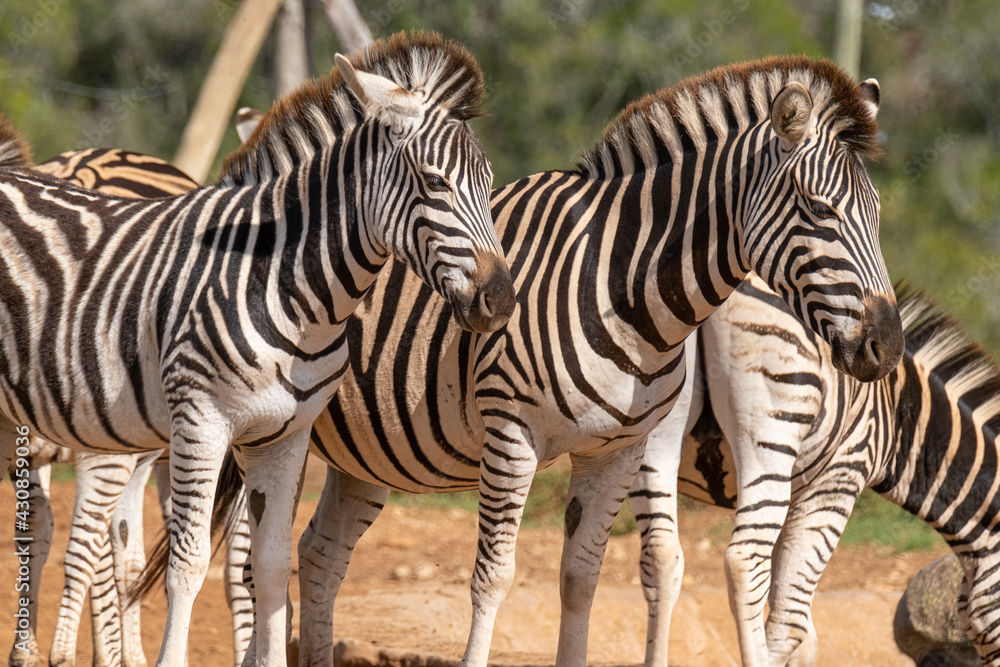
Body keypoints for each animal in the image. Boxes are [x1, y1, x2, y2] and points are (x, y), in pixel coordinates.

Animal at [0, 30, 512, 667]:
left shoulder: (283, 436)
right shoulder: (202, 421)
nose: (501, 300)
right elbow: (188, 564)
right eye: (435, 181)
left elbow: (267, 567)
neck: (291, 288)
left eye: (489, 188)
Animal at [203, 56, 904, 666]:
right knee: (249, 564)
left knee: (320, 554)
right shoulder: (511, 434)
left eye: (877, 212)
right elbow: (493, 577)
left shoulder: (616, 451)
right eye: (820, 210)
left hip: (367, 451)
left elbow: (580, 578)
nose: (889, 347)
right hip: (264, 429)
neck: (623, 289)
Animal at [631, 271, 1000, 667]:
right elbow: (791, 622)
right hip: (769, 430)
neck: (898, 413)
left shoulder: (794, 493)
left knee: (662, 557)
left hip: (653, 430)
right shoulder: (839, 474)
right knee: (746, 567)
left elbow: (802, 630)